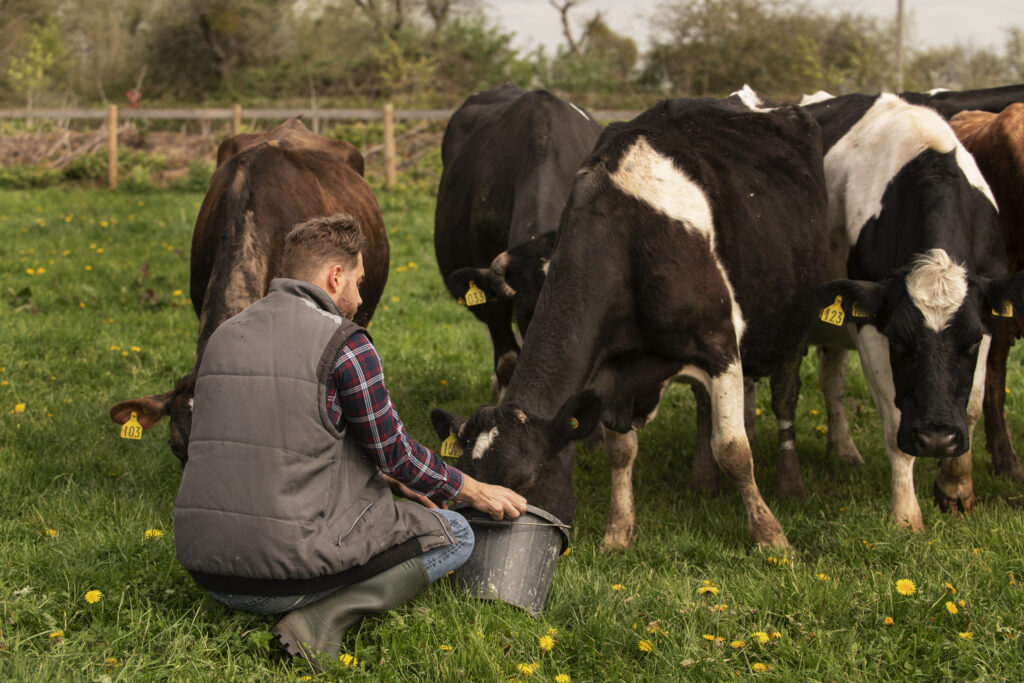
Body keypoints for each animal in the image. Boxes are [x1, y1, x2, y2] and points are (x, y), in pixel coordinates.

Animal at [800, 93, 1024, 529]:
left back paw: (844, 451)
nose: (936, 438)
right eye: (902, 344)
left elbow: (973, 404)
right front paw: (906, 515)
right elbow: (893, 422)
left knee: (831, 381)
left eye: (969, 345)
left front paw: (956, 489)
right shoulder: (873, 326)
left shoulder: (988, 321)